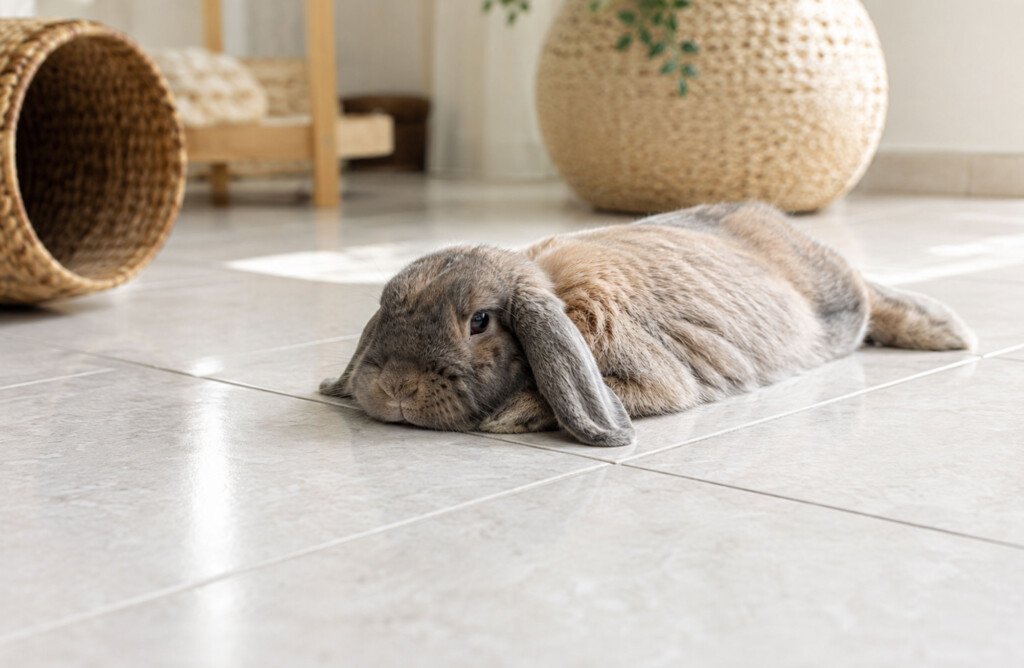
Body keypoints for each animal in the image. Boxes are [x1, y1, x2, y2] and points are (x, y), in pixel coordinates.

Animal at [320, 202, 975, 447]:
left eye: (480, 321)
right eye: (384, 306)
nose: (396, 388)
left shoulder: (653, 381)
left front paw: (512, 417)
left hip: (839, 300)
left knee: (872, 296)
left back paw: (948, 332)